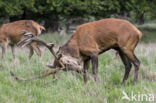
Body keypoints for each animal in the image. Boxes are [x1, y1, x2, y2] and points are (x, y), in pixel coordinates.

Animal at [12, 18, 142, 85]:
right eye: (66, 69)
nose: (77, 70)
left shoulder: (94, 51)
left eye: (67, 63)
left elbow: (94, 71)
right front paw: (85, 85)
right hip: (120, 48)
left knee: (137, 62)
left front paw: (96, 85)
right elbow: (85, 72)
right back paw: (122, 84)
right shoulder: (86, 57)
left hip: (127, 46)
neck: (78, 47)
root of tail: (139, 32)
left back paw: (134, 84)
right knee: (128, 65)